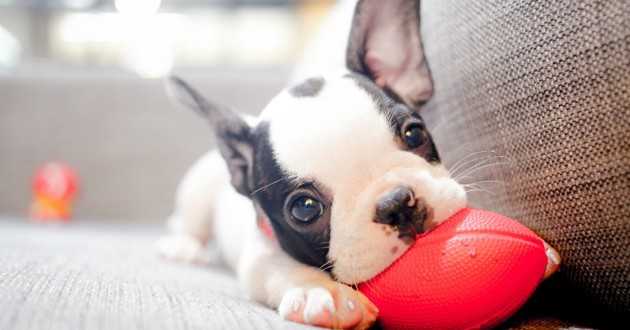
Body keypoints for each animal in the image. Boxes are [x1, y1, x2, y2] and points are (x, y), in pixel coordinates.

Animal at [158, 1, 564, 328]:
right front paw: (322, 292)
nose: (397, 203)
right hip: (197, 189)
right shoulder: (259, 255)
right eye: (304, 209)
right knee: (190, 223)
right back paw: (184, 246)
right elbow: (281, 268)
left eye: (414, 133)